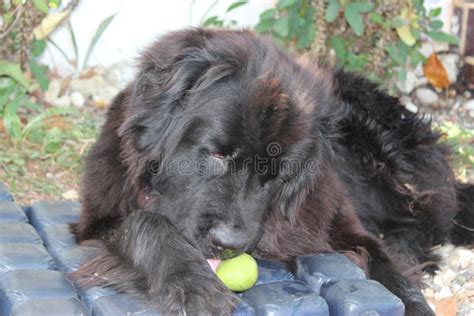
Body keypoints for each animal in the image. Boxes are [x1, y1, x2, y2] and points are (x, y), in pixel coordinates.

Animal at [70, 28, 474, 314]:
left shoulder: (340, 223)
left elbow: (386, 266)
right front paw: (192, 283)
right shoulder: (98, 219)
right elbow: (143, 222)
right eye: (217, 154)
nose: (231, 243)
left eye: (278, 174)